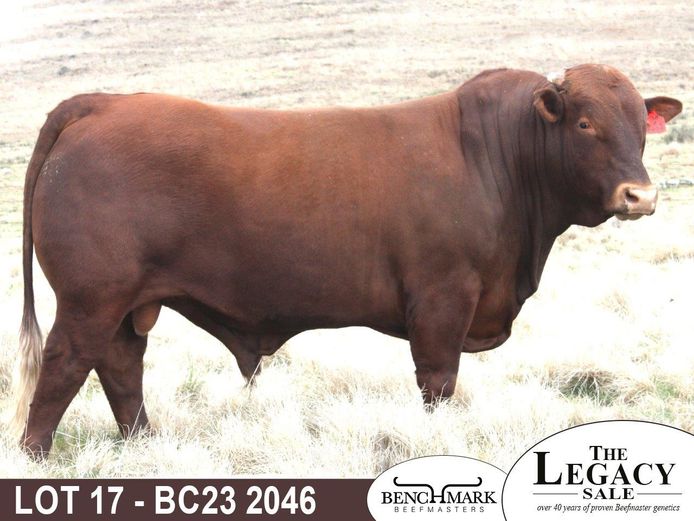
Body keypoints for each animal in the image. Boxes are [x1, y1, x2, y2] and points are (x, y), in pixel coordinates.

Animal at [12, 64, 681, 457]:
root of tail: (101, 104)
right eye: (586, 123)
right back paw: (36, 454)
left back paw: (146, 448)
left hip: (128, 304)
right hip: (91, 298)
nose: (640, 197)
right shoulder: (442, 297)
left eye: (640, 126)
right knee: (66, 365)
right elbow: (438, 382)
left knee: (121, 367)